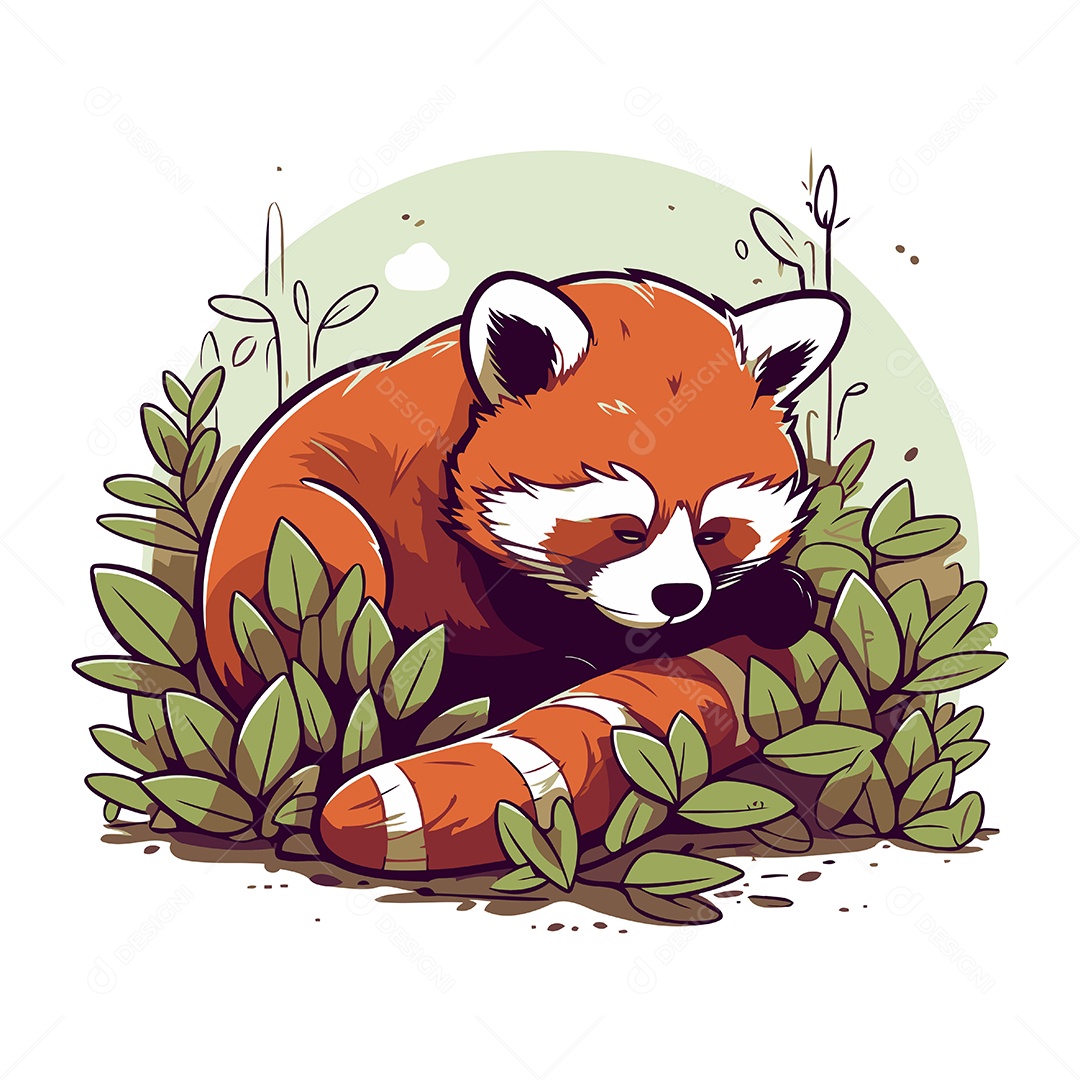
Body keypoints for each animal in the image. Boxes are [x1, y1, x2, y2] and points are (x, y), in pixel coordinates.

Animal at [200, 270, 850, 875]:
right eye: (627, 530)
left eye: (714, 533)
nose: (678, 595)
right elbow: (585, 627)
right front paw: (742, 609)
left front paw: (767, 596)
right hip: (307, 541)